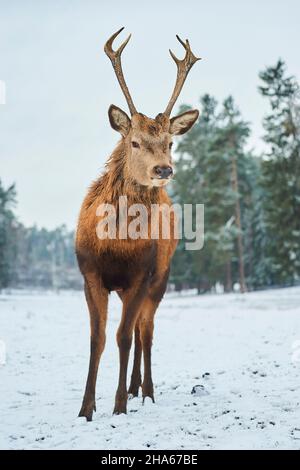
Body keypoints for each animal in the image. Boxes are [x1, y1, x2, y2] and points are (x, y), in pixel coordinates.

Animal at [76, 27, 200, 420]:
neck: (115, 245)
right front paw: (86, 407)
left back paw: (145, 390)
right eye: (133, 141)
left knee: (146, 331)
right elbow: (97, 338)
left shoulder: (140, 275)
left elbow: (125, 337)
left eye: (170, 142)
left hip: (161, 278)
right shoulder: (90, 273)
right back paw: (134, 388)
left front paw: (117, 406)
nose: (163, 169)